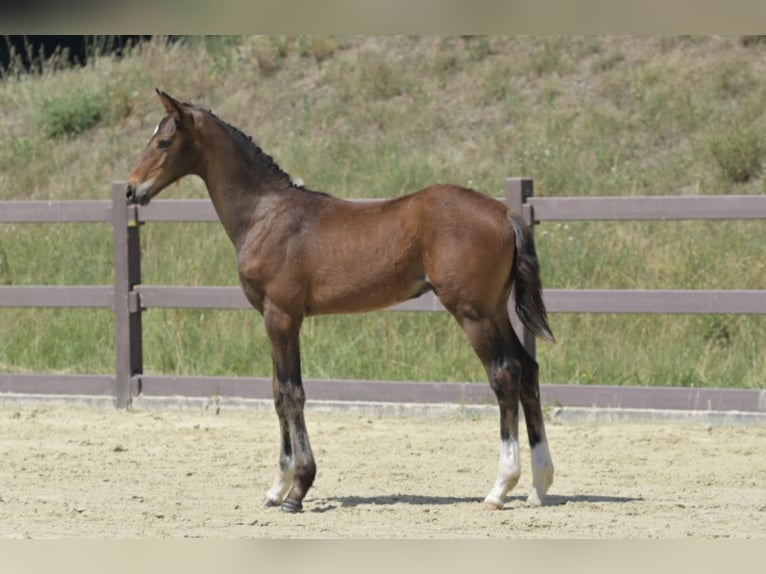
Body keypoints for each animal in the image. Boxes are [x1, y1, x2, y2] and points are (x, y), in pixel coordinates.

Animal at [126, 89, 555, 513]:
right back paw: (539, 485)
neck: (265, 214)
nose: (131, 189)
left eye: (164, 141)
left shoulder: (282, 316)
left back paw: (500, 488)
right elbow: (277, 394)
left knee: (504, 374)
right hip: (495, 309)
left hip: (472, 313)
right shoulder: (272, 318)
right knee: (528, 370)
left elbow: (292, 393)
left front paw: (297, 490)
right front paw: (276, 488)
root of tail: (504, 212)